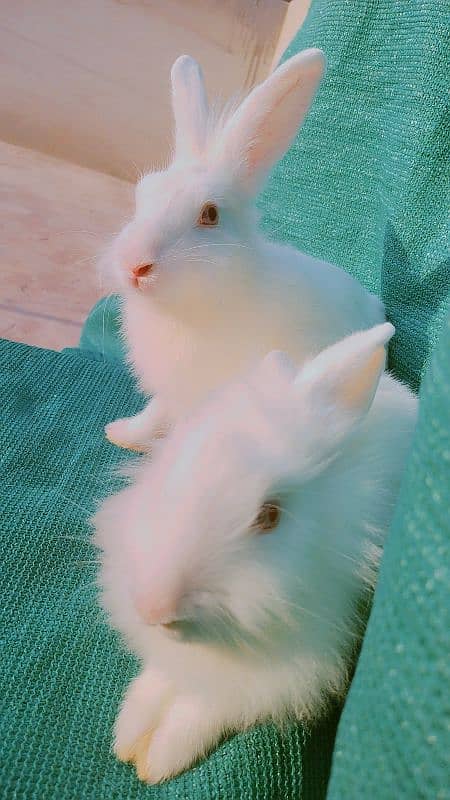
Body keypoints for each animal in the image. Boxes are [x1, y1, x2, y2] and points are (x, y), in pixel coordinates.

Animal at [93, 322, 416, 784]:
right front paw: (130, 734)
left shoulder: (274, 675)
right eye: (175, 466)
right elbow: (160, 680)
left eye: (270, 515)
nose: (155, 608)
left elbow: (203, 708)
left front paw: (155, 759)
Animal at [103, 48, 384, 450]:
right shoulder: (170, 392)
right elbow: (153, 413)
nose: (134, 265)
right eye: (143, 194)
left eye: (210, 214)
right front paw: (121, 433)